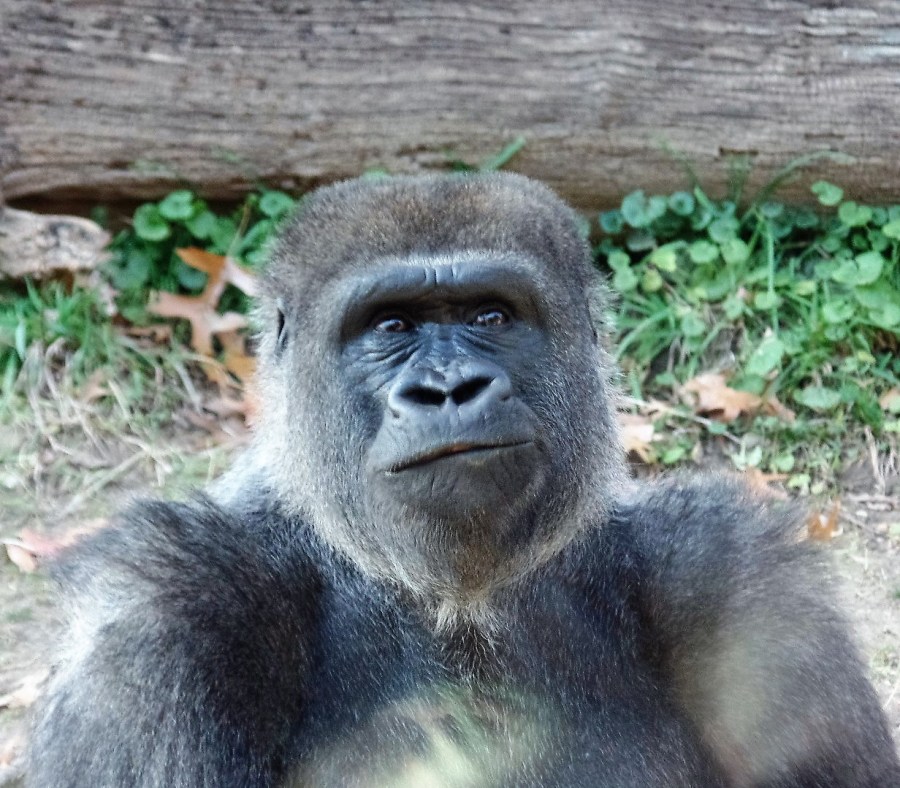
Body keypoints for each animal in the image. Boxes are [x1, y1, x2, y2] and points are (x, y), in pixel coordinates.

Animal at [27, 172, 900, 787]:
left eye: (490, 316)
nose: (448, 390)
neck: (454, 598)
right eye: (390, 325)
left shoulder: (739, 576)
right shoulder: (161, 615)